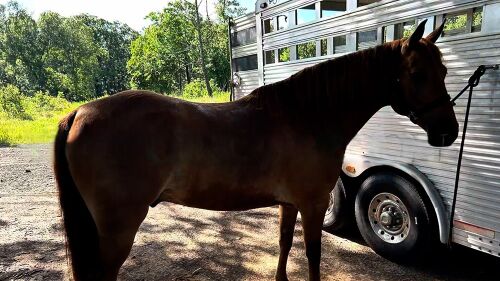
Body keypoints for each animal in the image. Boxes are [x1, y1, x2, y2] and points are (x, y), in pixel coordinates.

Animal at [53, 20, 458, 278]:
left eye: (443, 71)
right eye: (418, 74)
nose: (449, 132)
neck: (307, 116)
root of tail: (79, 113)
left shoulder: (289, 204)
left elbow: (284, 245)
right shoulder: (313, 204)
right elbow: (313, 256)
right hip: (118, 230)